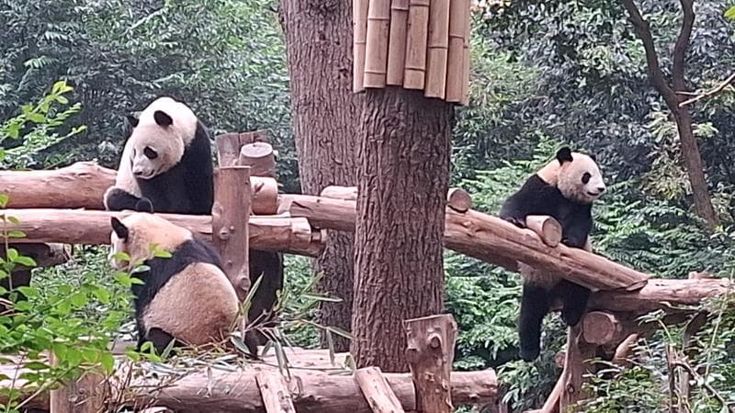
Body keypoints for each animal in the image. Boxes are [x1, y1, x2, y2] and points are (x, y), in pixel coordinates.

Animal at [109, 211, 240, 355]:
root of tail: (220, 343)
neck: (158, 236)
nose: (109, 259)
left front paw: (139, 346)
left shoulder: (147, 272)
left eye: (112, 245)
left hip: (178, 335)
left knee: (160, 339)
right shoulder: (203, 246)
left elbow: (142, 309)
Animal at [499, 146, 606, 361]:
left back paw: (570, 316)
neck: (564, 193)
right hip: (537, 281)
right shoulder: (540, 187)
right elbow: (517, 201)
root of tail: (555, 294)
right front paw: (513, 220)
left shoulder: (581, 208)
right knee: (530, 315)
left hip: (578, 277)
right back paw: (529, 352)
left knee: (578, 293)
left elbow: (581, 224)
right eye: (587, 176)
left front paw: (569, 241)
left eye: (599, 173)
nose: (601, 188)